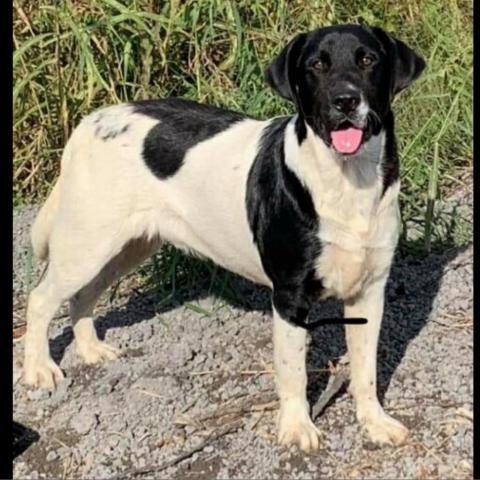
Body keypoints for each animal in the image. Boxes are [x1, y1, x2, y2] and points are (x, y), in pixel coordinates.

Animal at [24, 25, 426, 454]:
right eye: (316, 65)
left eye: (368, 60)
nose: (346, 100)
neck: (346, 181)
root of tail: (90, 122)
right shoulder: (289, 298)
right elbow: (294, 373)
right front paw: (297, 428)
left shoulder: (369, 292)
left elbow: (366, 370)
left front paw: (374, 423)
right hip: (87, 244)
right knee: (41, 298)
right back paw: (39, 369)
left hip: (128, 246)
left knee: (83, 294)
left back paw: (91, 350)